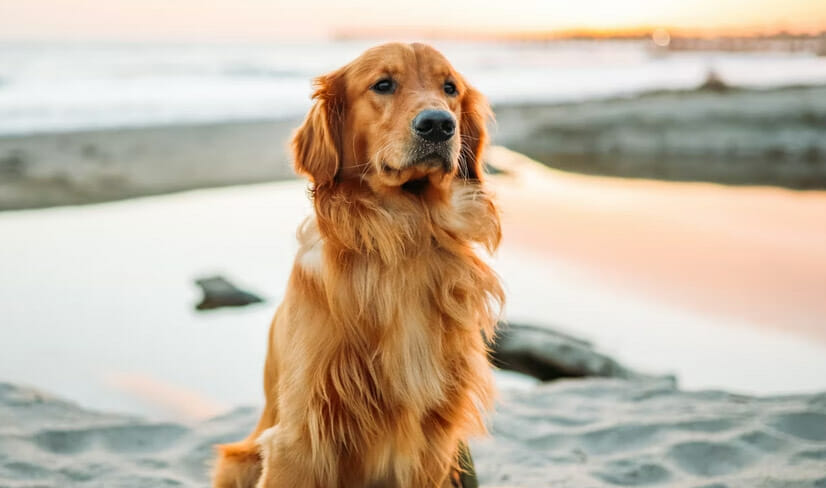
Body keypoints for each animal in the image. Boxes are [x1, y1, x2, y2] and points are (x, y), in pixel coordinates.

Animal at [212, 43, 502, 488]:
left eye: (450, 88)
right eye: (383, 85)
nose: (439, 124)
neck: (406, 237)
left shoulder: (434, 442)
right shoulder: (301, 436)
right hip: (238, 460)